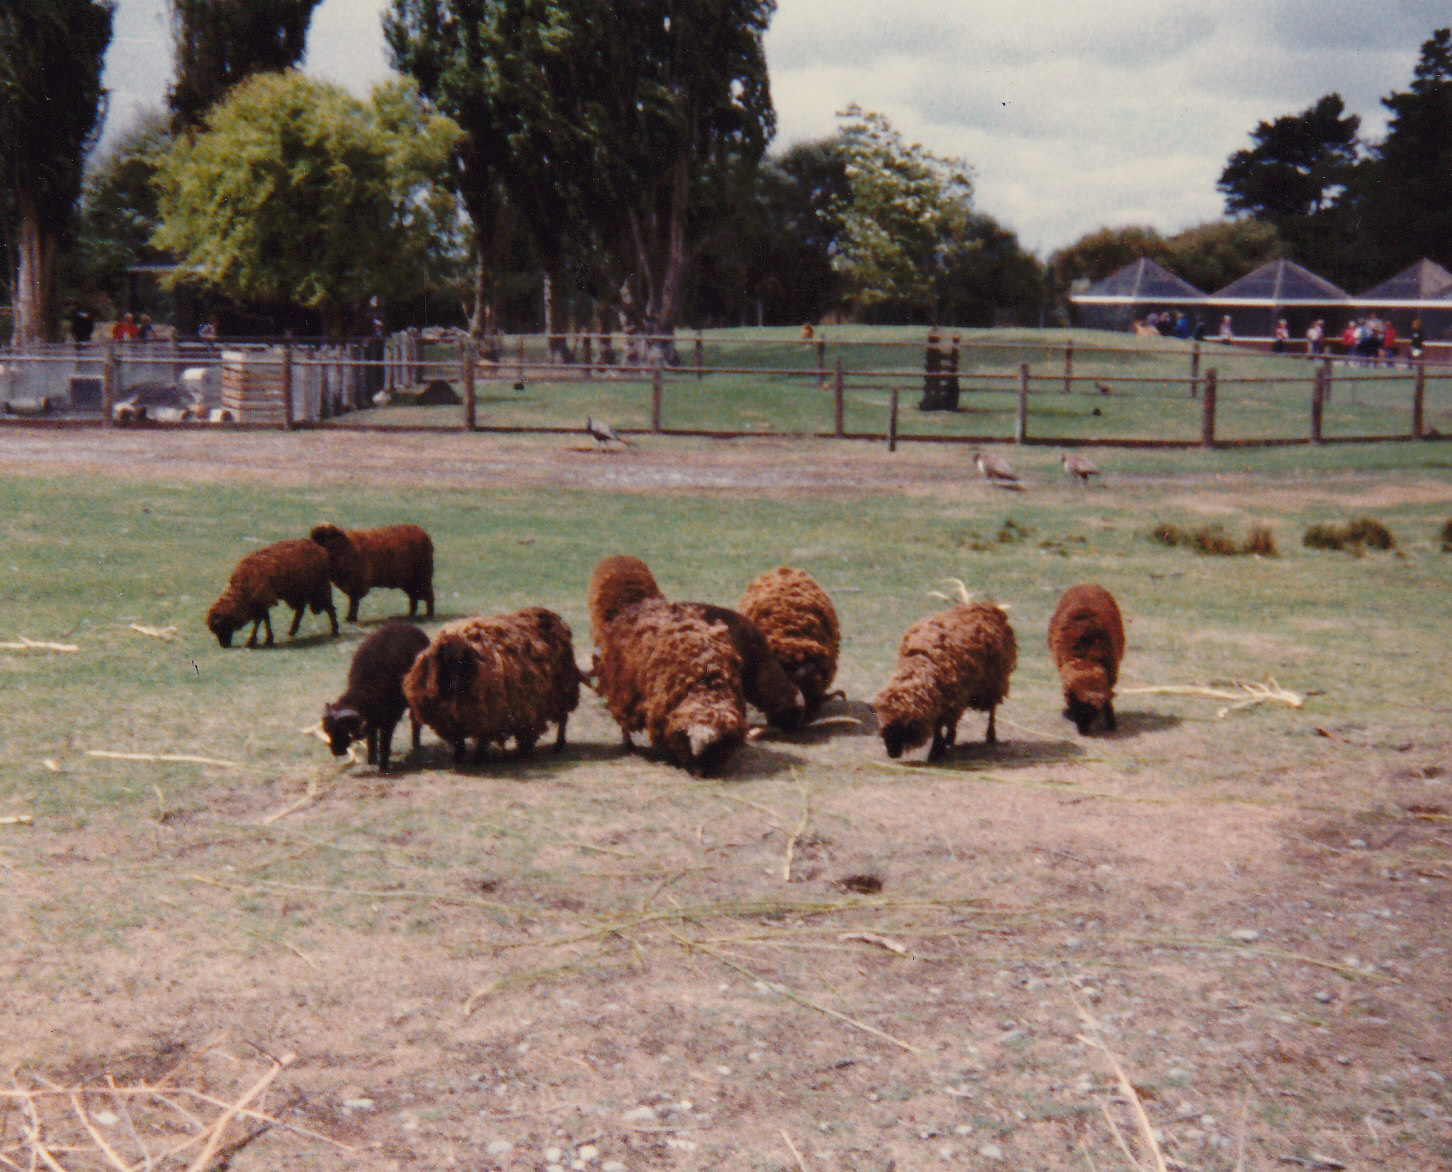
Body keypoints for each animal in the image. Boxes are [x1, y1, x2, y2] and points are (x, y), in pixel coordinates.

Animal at [206, 538, 339, 648]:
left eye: (221, 626)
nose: (224, 645)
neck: (243, 585)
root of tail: (319, 549)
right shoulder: (261, 603)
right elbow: (265, 619)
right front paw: (267, 639)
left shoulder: (262, 601)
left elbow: (259, 621)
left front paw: (253, 641)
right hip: (302, 591)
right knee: (303, 609)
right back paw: (293, 631)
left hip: (319, 588)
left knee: (330, 608)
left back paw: (334, 631)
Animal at [321, 621, 431, 773]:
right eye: (327, 730)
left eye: (342, 728)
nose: (336, 751)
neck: (366, 686)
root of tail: (408, 626)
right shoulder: (372, 715)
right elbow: (372, 735)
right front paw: (371, 759)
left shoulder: (389, 718)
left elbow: (384, 740)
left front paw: (383, 766)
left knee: (414, 719)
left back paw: (416, 745)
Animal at [402, 607, 582, 763]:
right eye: (446, 661)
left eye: (463, 662)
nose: (454, 684)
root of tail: (553, 617)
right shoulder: (454, 721)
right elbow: (459, 741)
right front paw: (458, 757)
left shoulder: (488, 717)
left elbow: (482, 739)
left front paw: (478, 758)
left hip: (562, 692)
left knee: (563, 719)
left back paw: (557, 745)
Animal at [871, 601, 1017, 761]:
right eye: (883, 728)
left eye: (900, 726)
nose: (892, 754)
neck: (922, 662)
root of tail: (988, 606)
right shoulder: (945, 699)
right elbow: (941, 724)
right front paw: (941, 746)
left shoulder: (950, 697)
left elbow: (940, 725)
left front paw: (935, 751)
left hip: (994, 683)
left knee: (992, 711)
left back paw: (990, 736)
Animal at [1047, 583, 1124, 735]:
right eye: (1074, 705)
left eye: (1092, 710)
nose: (1083, 731)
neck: (1086, 657)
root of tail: (1086, 584)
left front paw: (1111, 722)